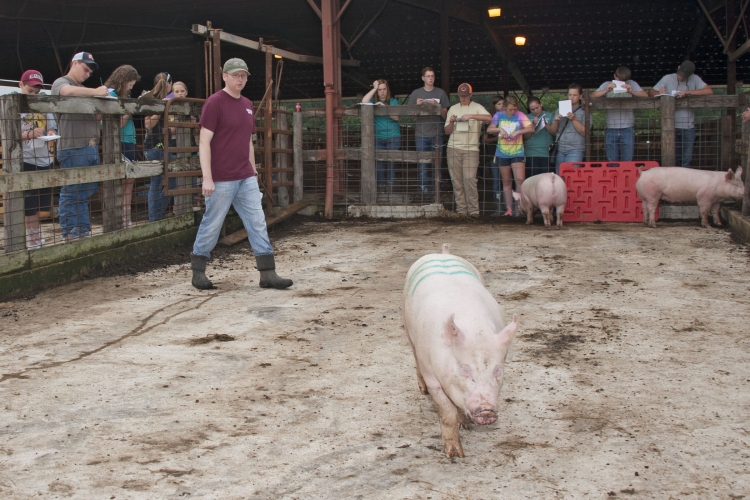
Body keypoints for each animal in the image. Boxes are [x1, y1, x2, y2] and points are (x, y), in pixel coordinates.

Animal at [402, 244, 520, 458]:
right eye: (464, 369)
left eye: (497, 370)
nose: (487, 411)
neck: (475, 328)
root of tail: (442, 253)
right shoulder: (432, 374)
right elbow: (446, 411)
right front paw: (454, 455)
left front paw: (466, 426)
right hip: (408, 328)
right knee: (414, 356)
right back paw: (422, 390)